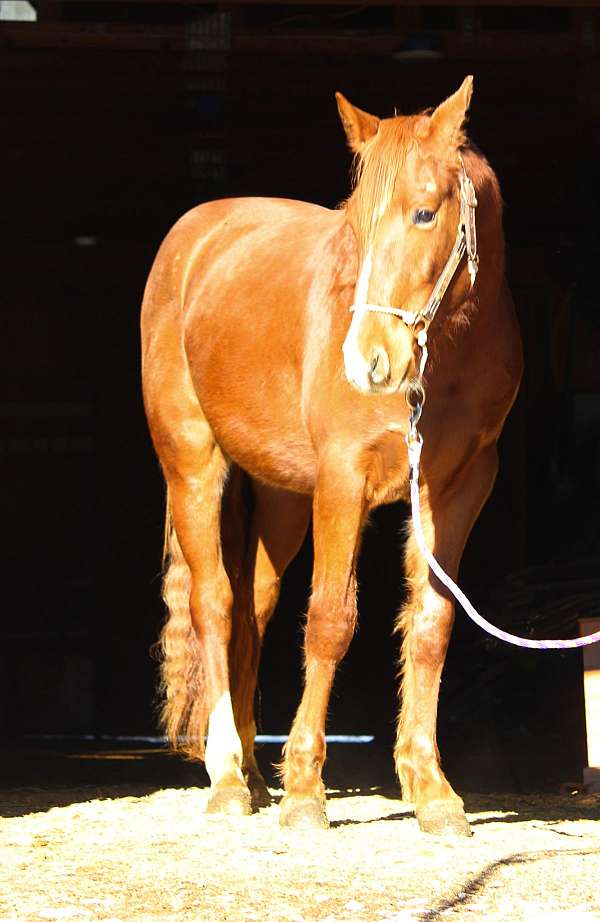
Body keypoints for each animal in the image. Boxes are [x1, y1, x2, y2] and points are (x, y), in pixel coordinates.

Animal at [140, 75, 523, 836]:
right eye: (354, 223)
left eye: (425, 213)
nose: (367, 360)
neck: (446, 359)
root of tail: (193, 237)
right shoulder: (344, 479)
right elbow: (330, 621)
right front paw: (307, 791)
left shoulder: (459, 486)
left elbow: (432, 624)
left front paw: (432, 790)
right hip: (194, 466)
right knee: (213, 602)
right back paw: (229, 777)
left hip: (284, 496)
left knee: (252, 608)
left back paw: (255, 770)